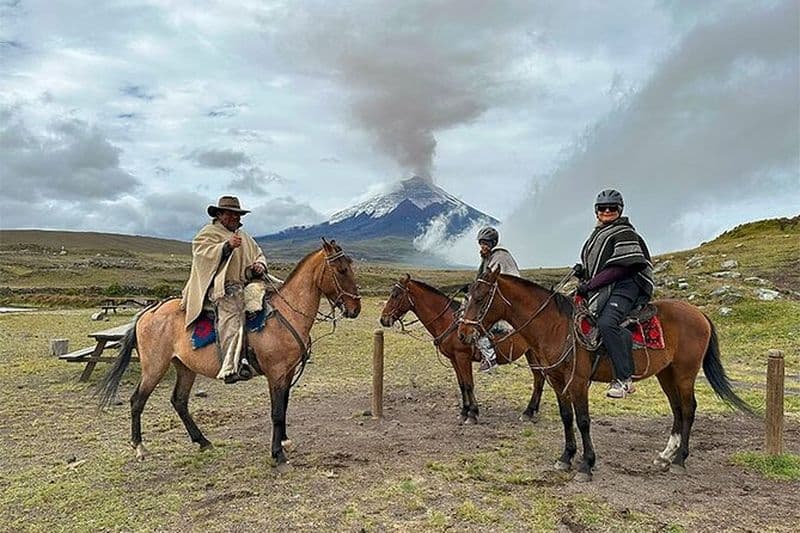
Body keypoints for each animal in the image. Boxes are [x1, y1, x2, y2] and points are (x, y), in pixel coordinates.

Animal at [96, 239, 361, 470]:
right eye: (341, 270)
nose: (355, 309)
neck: (287, 313)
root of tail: (148, 311)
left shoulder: (287, 372)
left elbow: (284, 407)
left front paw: (285, 442)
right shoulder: (275, 373)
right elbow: (276, 412)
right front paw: (277, 454)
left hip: (184, 367)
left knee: (179, 401)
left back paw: (203, 441)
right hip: (155, 367)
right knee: (137, 400)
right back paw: (140, 447)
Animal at [380, 274, 545, 424]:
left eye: (395, 295)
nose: (383, 319)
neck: (449, 322)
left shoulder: (463, 357)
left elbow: (469, 384)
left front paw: (472, 414)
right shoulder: (454, 359)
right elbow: (462, 385)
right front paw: (464, 411)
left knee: (539, 378)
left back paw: (528, 411)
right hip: (531, 354)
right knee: (539, 378)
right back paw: (531, 411)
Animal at [458, 266, 752, 481]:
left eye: (481, 298)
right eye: (467, 297)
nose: (463, 333)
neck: (555, 326)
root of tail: (699, 314)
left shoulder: (578, 382)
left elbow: (583, 420)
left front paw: (586, 464)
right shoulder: (557, 380)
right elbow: (567, 417)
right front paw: (566, 457)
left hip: (684, 373)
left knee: (689, 409)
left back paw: (680, 460)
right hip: (666, 374)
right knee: (678, 409)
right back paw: (666, 456)